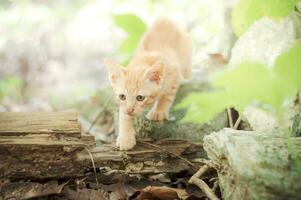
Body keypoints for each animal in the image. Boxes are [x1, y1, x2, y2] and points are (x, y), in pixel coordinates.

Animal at [104, 18, 191, 150]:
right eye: (122, 96)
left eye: (140, 98)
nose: (130, 110)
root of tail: (164, 19)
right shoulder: (123, 106)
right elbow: (123, 116)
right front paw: (125, 137)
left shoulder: (174, 74)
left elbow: (166, 96)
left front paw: (159, 111)